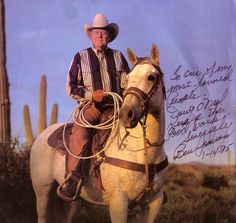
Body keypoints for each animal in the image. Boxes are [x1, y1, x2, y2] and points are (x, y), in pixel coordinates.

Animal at [30, 44, 168, 223]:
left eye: (151, 77)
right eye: (128, 79)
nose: (126, 114)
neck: (143, 154)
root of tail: (43, 134)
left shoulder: (154, 202)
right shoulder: (118, 201)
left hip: (72, 202)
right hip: (42, 191)